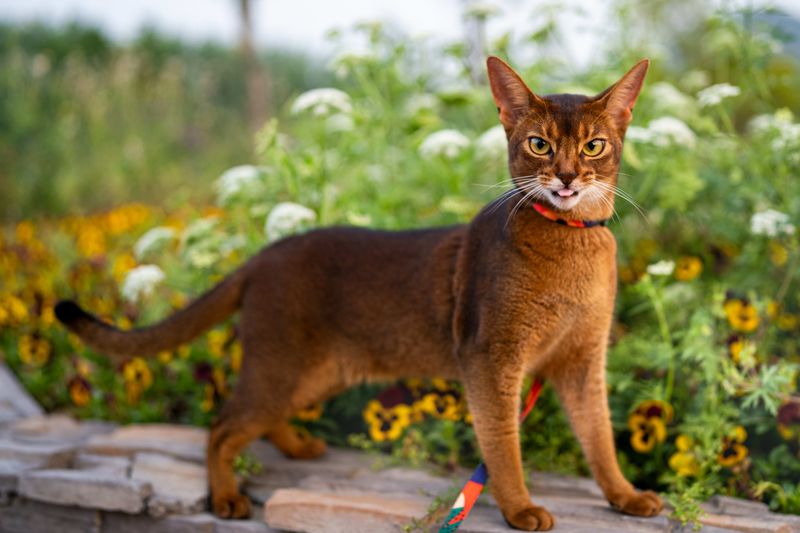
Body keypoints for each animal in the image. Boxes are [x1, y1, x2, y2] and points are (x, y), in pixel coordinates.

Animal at [56, 56, 664, 528]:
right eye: (538, 144)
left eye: (593, 146)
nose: (566, 177)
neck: (571, 237)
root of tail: (263, 255)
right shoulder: (491, 359)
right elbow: (503, 446)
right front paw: (520, 510)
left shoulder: (581, 361)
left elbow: (600, 437)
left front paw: (624, 495)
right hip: (283, 366)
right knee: (221, 428)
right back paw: (226, 497)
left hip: (313, 373)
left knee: (255, 420)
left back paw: (297, 446)